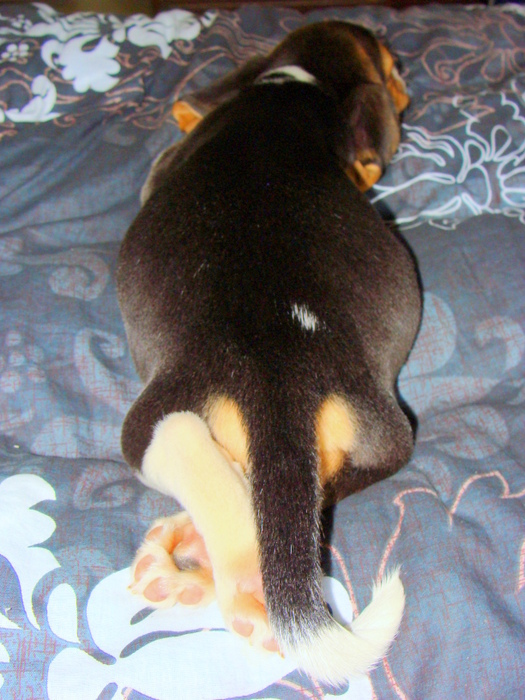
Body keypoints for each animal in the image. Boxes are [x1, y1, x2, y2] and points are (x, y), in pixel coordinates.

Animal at [117, 21, 421, 686]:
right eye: (392, 67)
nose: (408, 87)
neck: (294, 85)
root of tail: (281, 368)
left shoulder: (163, 165)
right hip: (384, 434)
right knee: (301, 497)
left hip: (158, 411)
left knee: (182, 443)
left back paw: (235, 579)